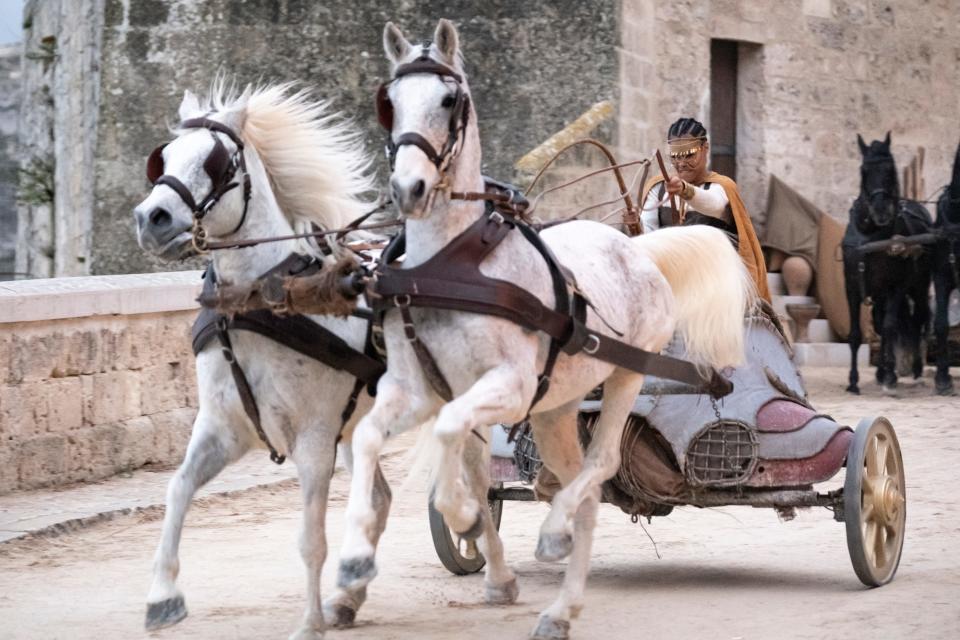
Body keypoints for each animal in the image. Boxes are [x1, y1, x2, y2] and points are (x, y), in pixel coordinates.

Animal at [133, 82, 392, 636]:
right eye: (164, 156)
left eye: (216, 162)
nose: (150, 218)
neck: (257, 302)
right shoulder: (223, 428)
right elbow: (177, 490)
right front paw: (162, 596)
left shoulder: (314, 438)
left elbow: (311, 539)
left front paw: (308, 622)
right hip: (357, 428)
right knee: (380, 500)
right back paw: (349, 597)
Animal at [338, 20, 756, 640]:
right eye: (388, 102)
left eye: (450, 100)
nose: (408, 188)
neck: (454, 266)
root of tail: (636, 248)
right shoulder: (413, 389)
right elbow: (372, 439)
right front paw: (353, 565)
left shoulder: (506, 386)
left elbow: (450, 435)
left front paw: (461, 514)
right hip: (556, 406)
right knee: (581, 486)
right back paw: (560, 605)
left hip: (628, 373)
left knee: (601, 465)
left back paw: (555, 543)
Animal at [844, 134, 932, 392]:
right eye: (864, 170)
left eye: (891, 169)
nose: (881, 211)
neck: (870, 236)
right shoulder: (851, 286)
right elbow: (856, 333)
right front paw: (853, 382)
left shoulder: (896, 287)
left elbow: (890, 327)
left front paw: (890, 375)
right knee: (881, 321)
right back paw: (882, 372)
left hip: (918, 286)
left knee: (917, 319)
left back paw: (912, 370)